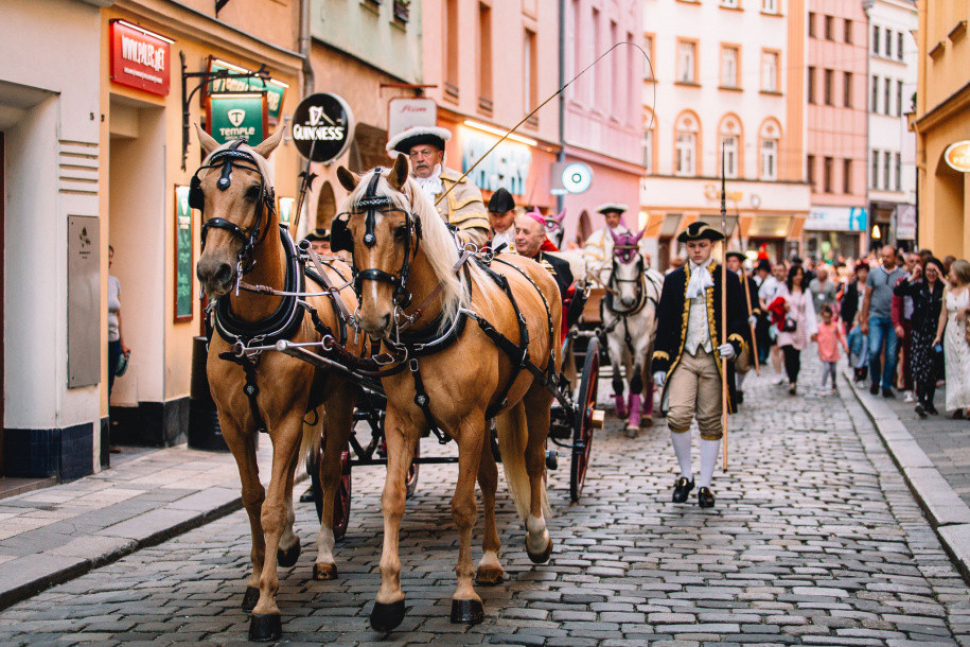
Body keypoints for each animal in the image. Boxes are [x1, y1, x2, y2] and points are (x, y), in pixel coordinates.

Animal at [193, 126, 364, 644]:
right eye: (198, 191)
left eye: (255, 191)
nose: (213, 271)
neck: (254, 326)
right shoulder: (235, 423)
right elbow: (255, 498)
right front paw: (255, 580)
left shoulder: (288, 416)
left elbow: (271, 504)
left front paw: (267, 607)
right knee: (289, 479)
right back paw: (288, 544)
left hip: (339, 399)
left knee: (326, 473)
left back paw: (324, 553)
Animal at [332, 156, 560, 632]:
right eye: (349, 229)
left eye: (402, 229)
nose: (373, 318)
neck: (428, 330)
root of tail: (531, 264)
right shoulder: (401, 423)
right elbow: (394, 500)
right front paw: (388, 596)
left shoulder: (469, 422)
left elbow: (462, 506)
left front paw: (464, 594)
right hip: (492, 413)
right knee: (490, 478)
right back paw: (490, 561)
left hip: (537, 392)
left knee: (532, 462)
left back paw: (536, 537)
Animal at [600, 229, 660, 440]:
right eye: (615, 262)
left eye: (638, 263)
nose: (627, 300)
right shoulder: (613, 341)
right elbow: (618, 380)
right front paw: (623, 413)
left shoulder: (642, 342)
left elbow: (636, 382)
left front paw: (633, 422)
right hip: (627, 347)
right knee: (628, 371)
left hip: (652, 343)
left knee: (649, 376)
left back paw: (647, 415)